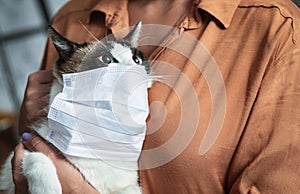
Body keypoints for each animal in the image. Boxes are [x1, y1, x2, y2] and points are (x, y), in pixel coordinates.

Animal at [0, 21, 150, 194]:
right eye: (106, 59)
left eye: (137, 60)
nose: (134, 69)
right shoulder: (23, 148)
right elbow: (36, 157)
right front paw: (46, 189)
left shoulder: (130, 185)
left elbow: (128, 190)